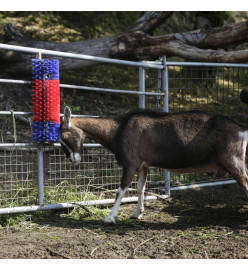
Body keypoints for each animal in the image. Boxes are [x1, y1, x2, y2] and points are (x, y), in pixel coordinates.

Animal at [59, 106, 247, 224]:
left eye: (64, 137)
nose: (73, 160)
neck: (118, 129)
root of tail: (241, 130)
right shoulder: (143, 165)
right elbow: (140, 188)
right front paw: (137, 213)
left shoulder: (131, 163)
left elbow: (121, 190)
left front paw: (110, 218)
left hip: (233, 161)